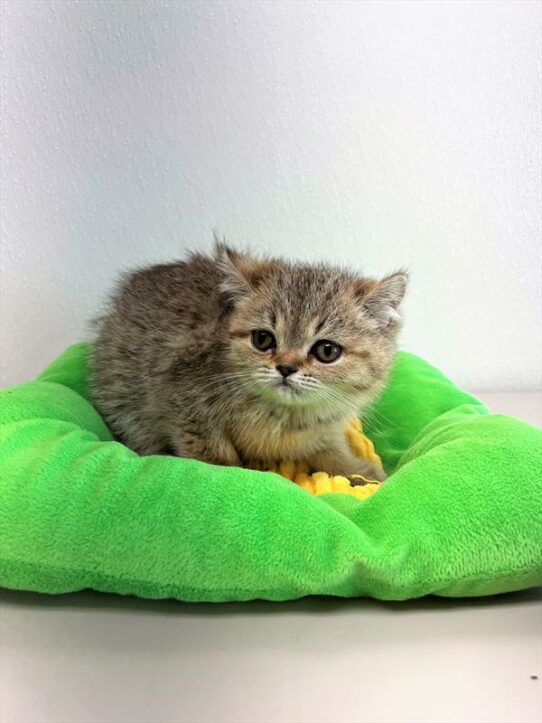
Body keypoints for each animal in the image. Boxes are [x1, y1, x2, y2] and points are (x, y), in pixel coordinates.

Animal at [92, 245, 408, 480]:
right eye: (263, 339)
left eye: (327, 351)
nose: (286, 368)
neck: (285, 418)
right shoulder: (182, 401)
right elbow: (215, 455)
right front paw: (239, 473)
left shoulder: (321, 433)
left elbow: (332, 452)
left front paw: (360, 471)